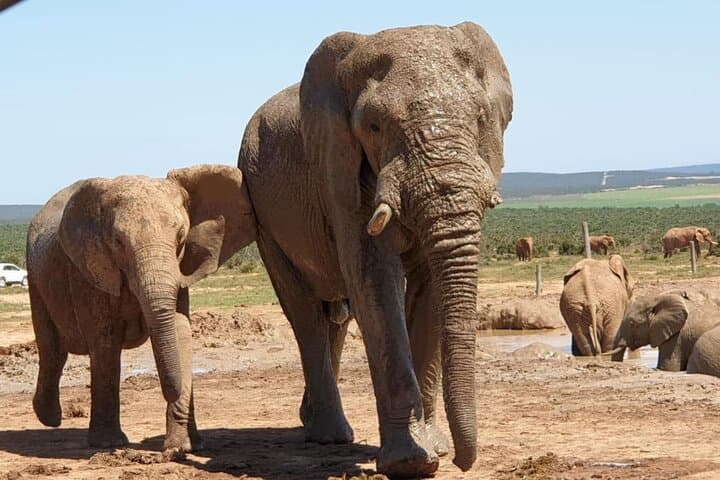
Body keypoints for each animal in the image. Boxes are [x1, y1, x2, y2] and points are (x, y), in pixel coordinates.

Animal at [26, 165, 256, 451]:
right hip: (35, 276)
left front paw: (183, 446)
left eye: (181, 237)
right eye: (118, 241)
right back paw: (50, 419)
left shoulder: (180, 270)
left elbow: (180, 331)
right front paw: (108, 444)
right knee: (52, 348)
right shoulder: (88, 270)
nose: (171, 391)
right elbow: (105, 340)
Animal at [237, 22, 512, 475]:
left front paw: (433, 448)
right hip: (262, 215)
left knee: (335, 317)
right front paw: (410, 462)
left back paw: (311, 421)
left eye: (479, 119)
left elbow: (429, 290)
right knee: (305, 315)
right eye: (374, 126)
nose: (461, 461)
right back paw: (330, 436)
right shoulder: (339, 170)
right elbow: (375, 281)